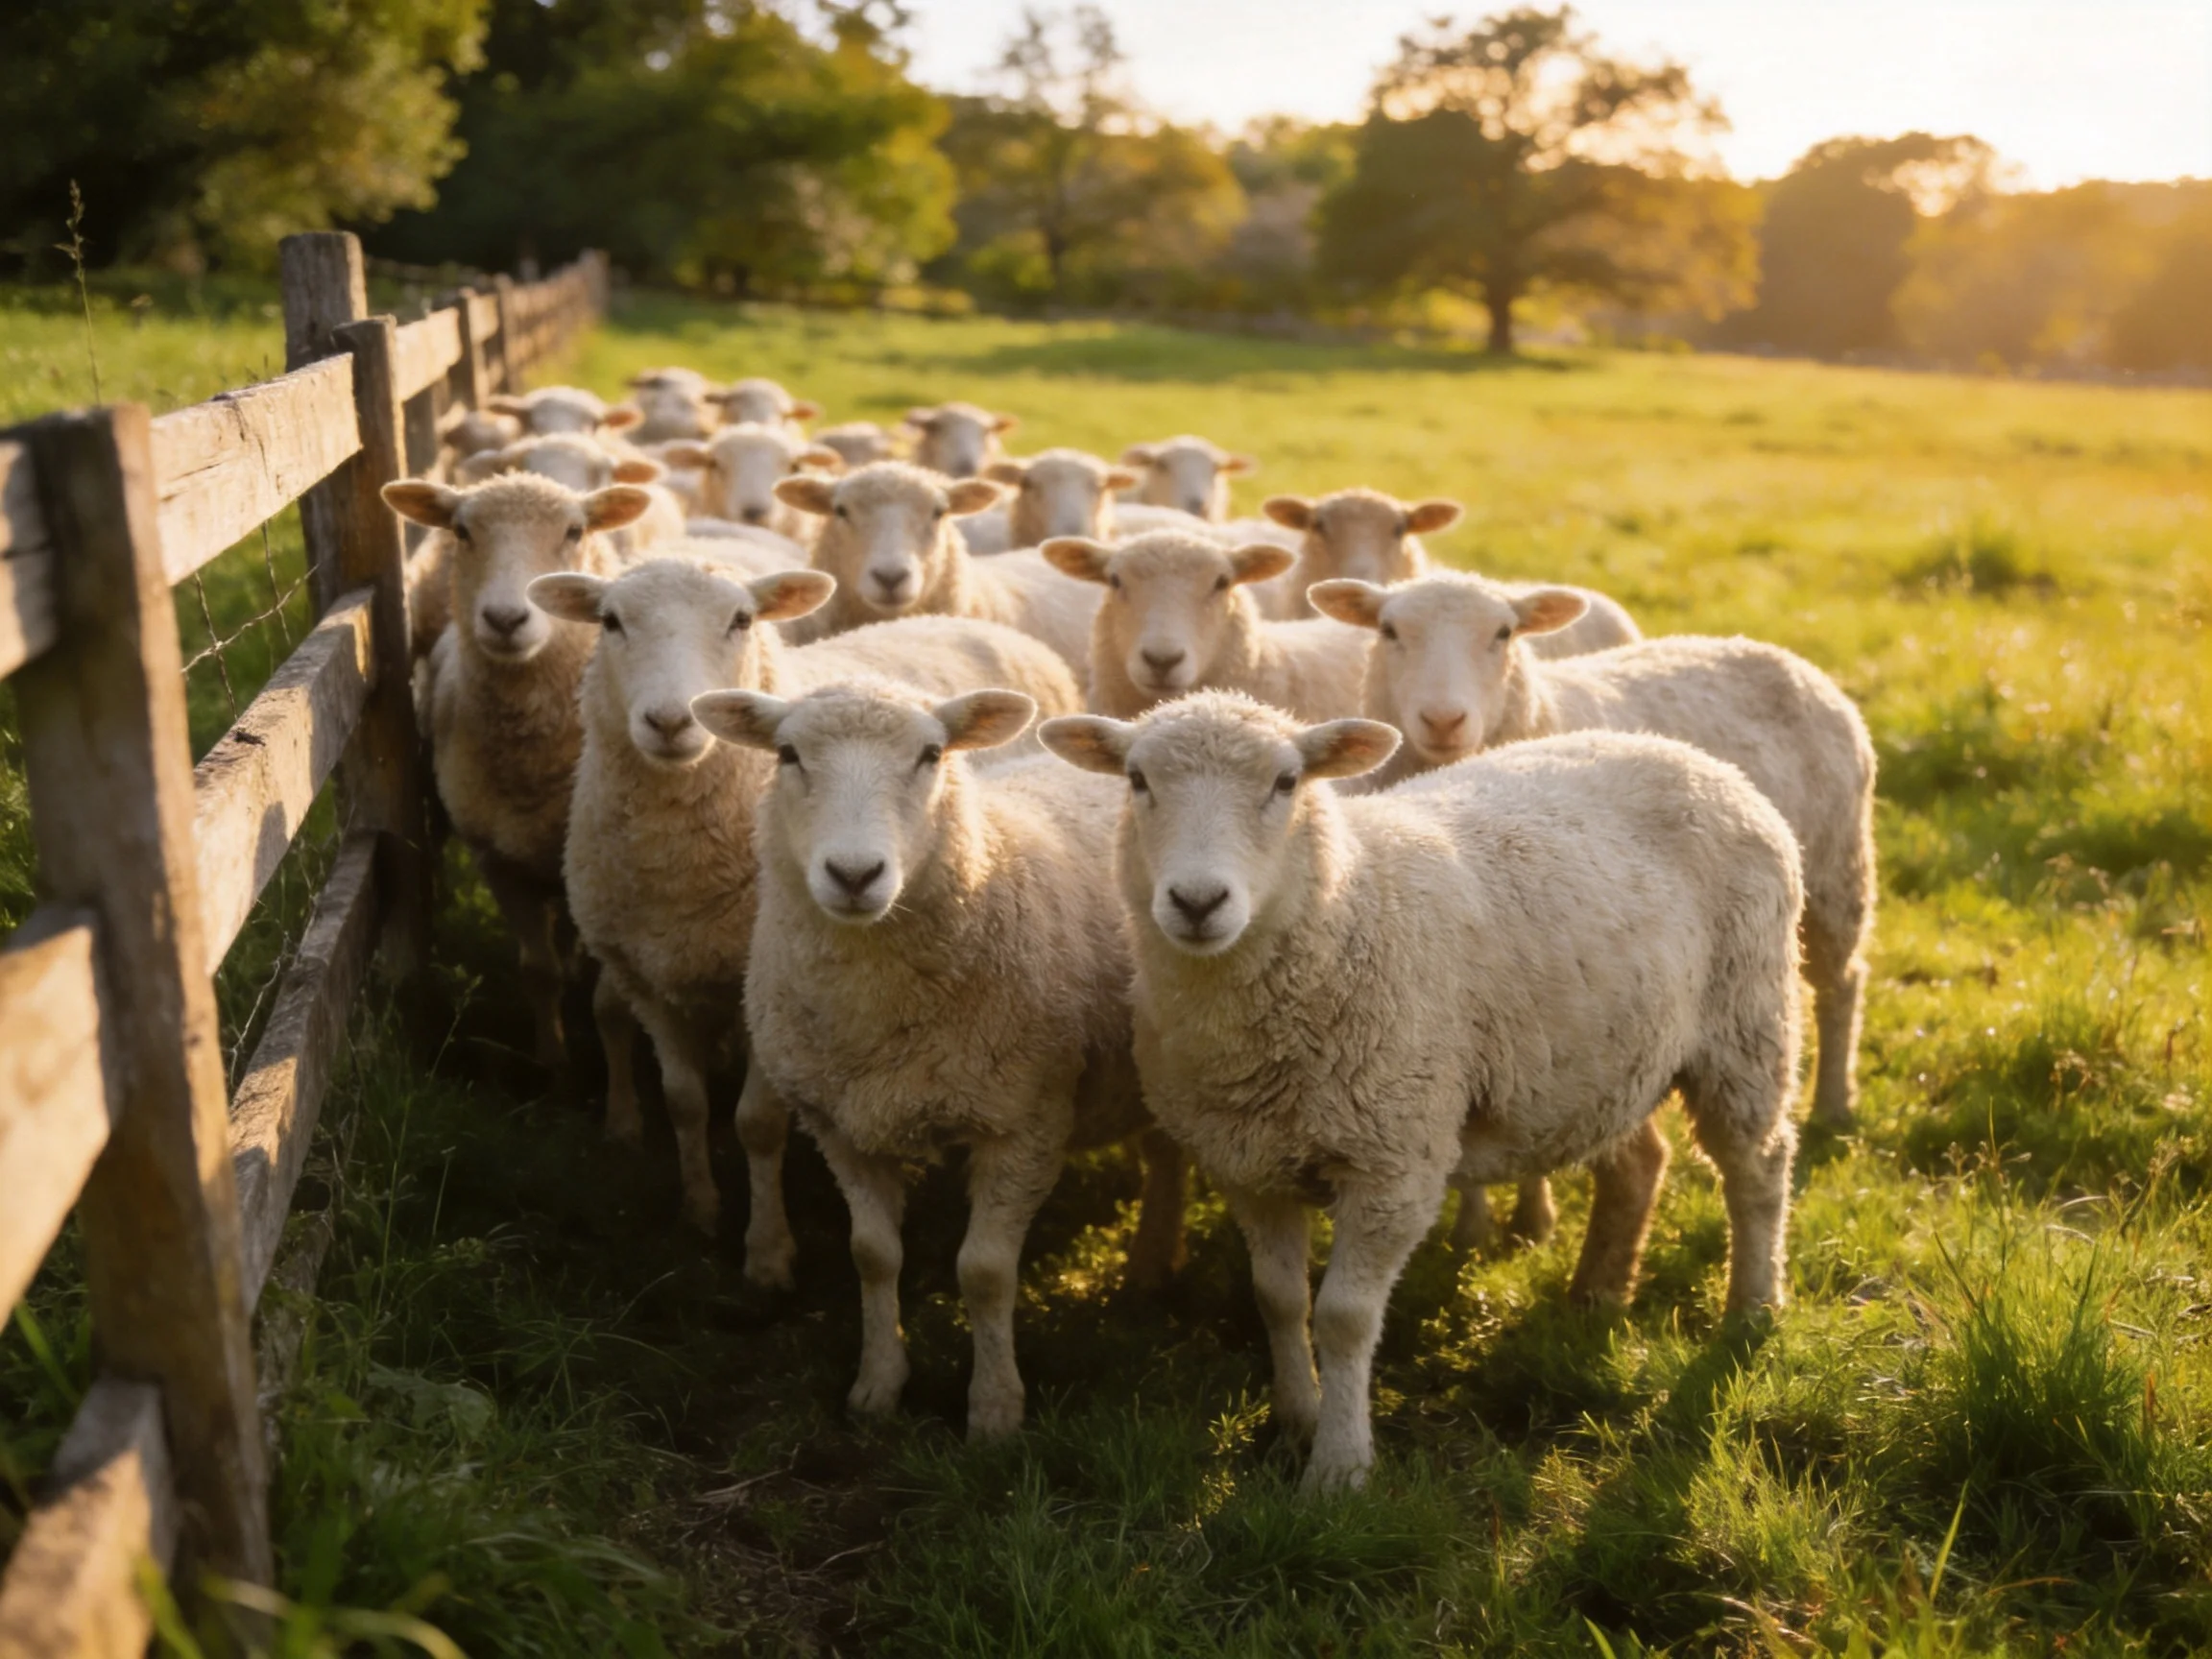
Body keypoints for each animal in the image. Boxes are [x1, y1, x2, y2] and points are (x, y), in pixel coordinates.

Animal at [380, 472, 655, 1074]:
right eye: (462, 531)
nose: (506, 619)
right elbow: (538, 970)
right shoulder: (498, 860)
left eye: (574, 532)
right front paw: (552, 1063)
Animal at [527, 558, 1083, 1283]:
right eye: (611, 621)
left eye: (741, 620)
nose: (672, 721)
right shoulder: (648, 982)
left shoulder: (769, 998)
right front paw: (700, 1210)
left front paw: (767, 1252)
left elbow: (758, 1124)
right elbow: (684, 1099)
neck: (676, 858)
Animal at [691, 678, 1187, 1437]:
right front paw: (877, 1387)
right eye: (788, 754)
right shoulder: (841, 1125)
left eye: (930, 754)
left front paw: (994, 1409)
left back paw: (1150, 1265)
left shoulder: (1024, 1121)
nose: (855, 874)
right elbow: (872, 1257)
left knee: (1167, 1153)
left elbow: (984, 1271)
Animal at [1039, 692, 1804, 1491]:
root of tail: (1688, 755)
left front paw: (1339, 1467)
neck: (1344, 914)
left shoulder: (1393, 1163)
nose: (1196, 901)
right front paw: (1294, 1423)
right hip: (1602, 1058)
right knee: (1639, 1163)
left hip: (1745, 1021)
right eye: (1136, 779)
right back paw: (1595, 1295)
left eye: (1286, 782)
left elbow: (1343, 1317)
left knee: (1758, 1168)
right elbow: (1277, 1300)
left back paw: (1752, 1308)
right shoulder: (1249, 1165)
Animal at [1311, 572, 1877, 1132]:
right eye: (1388, 630)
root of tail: (1774, 651)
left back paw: (1833, 1103)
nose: (1444, 720)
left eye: (1504, 633)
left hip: (1835, 873)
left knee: (1842, 984)